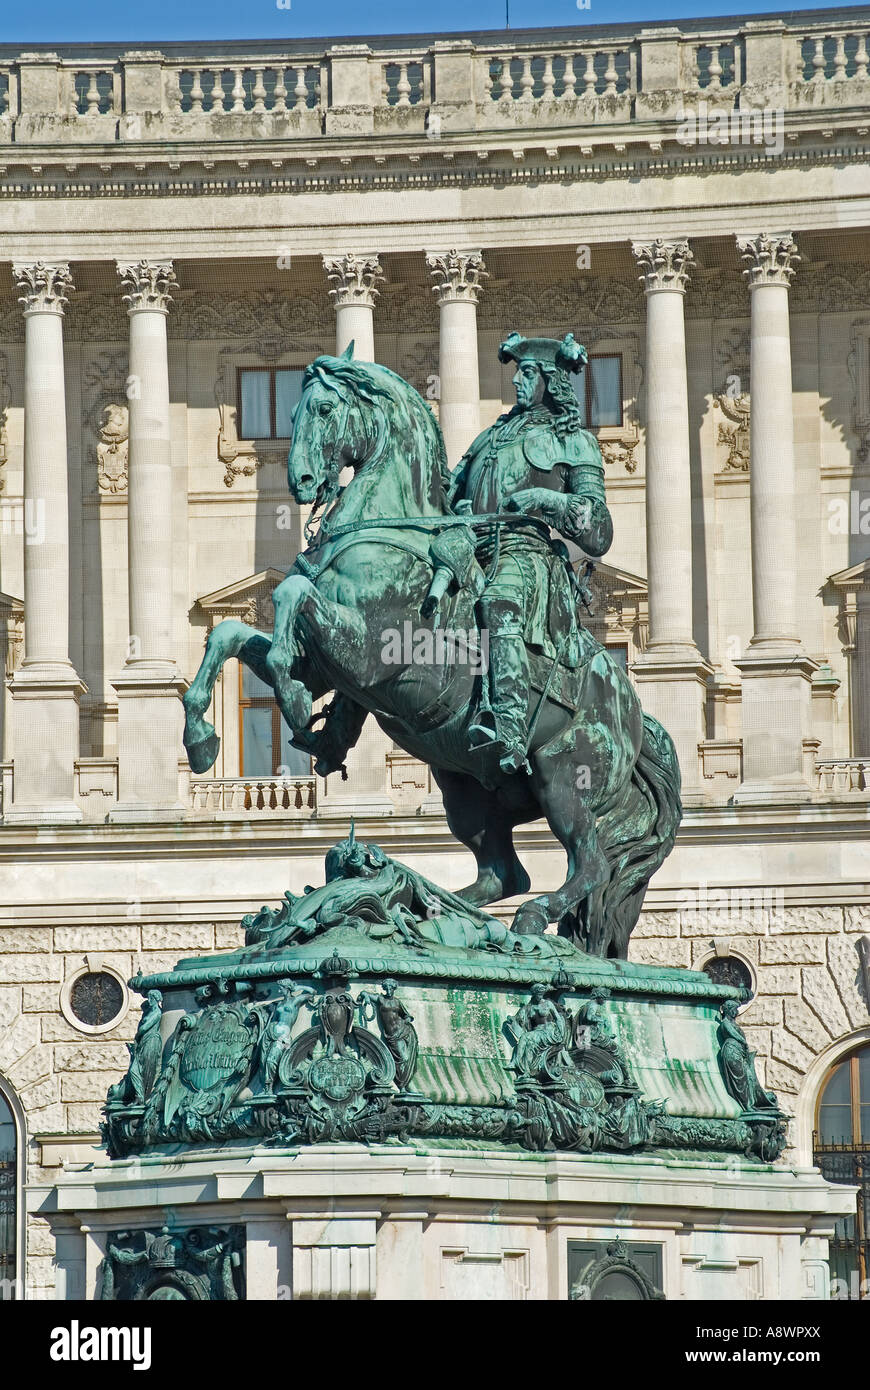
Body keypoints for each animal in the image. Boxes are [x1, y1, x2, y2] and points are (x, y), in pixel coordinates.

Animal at [180, 347, 678, 956]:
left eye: (323, 408)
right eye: (290, 411)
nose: (300, 481)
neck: (389, 531)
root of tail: (633, 711)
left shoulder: (369, 653)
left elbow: (289, 596)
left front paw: (294, 706)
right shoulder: (325, 664)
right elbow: (232, 631)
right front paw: (202, 739)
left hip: (562, 777)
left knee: (589, 863)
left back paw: (518, 918)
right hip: (464, 787)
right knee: (505, 874)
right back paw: (434, 909)